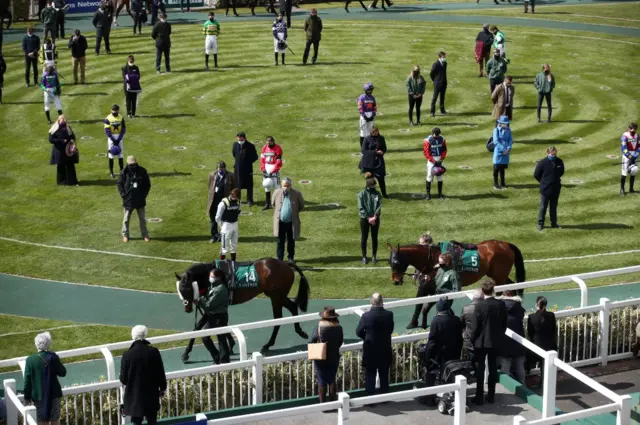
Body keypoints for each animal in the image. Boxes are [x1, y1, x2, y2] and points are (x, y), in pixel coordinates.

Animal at [384, 240, 524, 326]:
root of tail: (506, 244)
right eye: (389, 262)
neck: (433, 261)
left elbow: (428, 305)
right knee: (511, 285)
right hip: (499, 275)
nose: (396, 281)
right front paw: (413, 323)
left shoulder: (437, 289)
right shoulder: (425, 286)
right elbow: (419, 304)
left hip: (499, 276)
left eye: (396, 262)